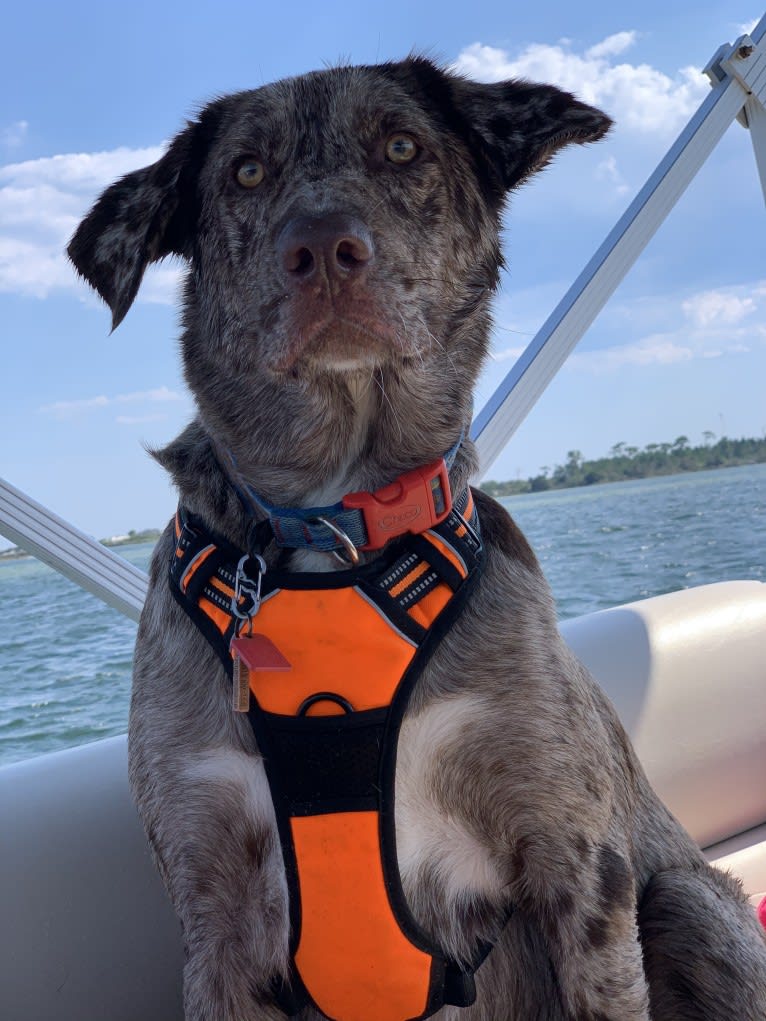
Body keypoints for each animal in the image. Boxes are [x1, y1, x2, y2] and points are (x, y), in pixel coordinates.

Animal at [67, 57, 766, 1021]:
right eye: (245, 172)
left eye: (402, 147)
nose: (324, 248)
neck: (336, 516)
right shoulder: (211, 896)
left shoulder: (576, 858)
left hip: (689, 898)